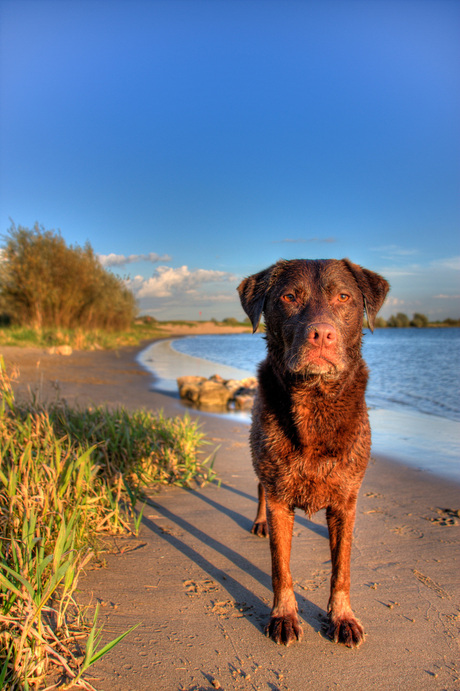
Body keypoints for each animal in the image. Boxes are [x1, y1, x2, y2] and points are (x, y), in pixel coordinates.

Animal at [239, 258, 390, 648]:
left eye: (344, 297)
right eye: (289, 297)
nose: (321, 334)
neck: (316, 402)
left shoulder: (345, 500)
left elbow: (342, 569)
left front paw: (343, 617)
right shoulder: (279, 495)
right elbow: (280, 567)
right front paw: (284, 616)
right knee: (259, 487)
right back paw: (259, 522)